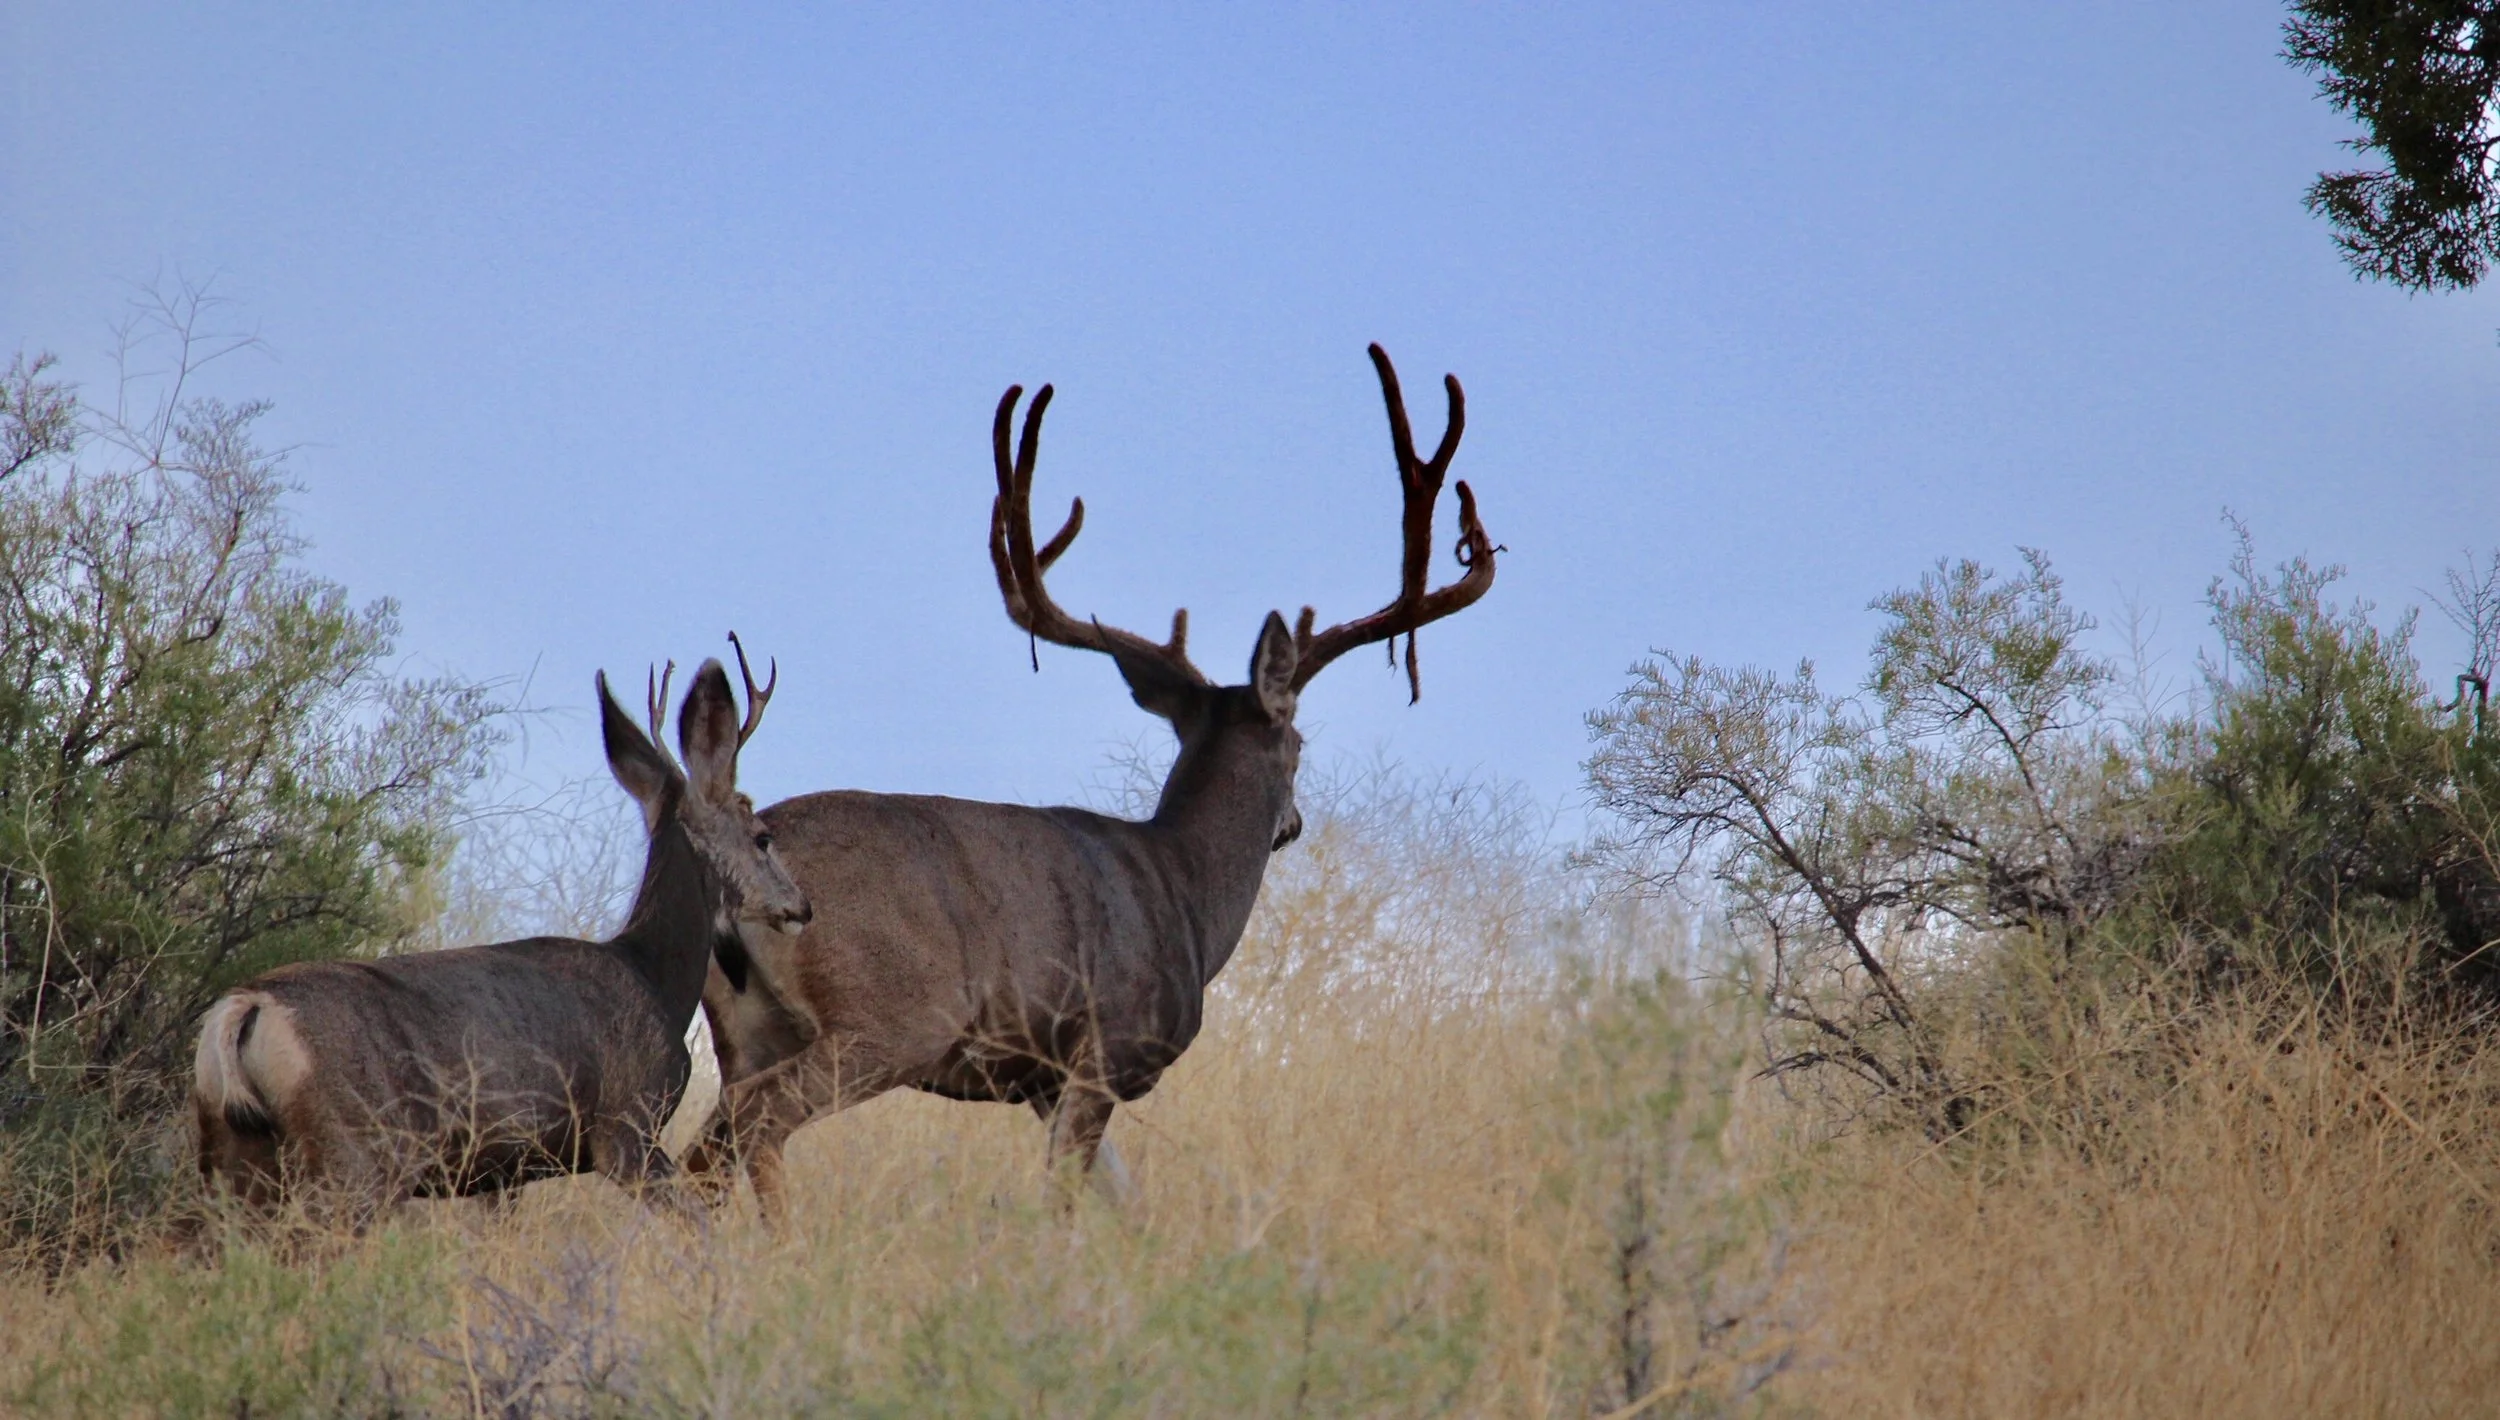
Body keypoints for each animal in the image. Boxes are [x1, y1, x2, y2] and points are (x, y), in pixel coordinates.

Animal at [192, 654, 811, 1225]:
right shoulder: (624, 1126)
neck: (653, 977)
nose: (801, 907)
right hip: (357, 1155)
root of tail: (245, 1008)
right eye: (762, 837)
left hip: (230, 1156)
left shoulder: (502, 1171)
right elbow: (699, 1229)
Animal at [682, 345, 1497, 1218]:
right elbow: (1066, 1202)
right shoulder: (1104, 1048)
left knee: (704, 1151)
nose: (1294, 824)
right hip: (892, 1013)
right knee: (755, 1122)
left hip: (744, 1027)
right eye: (1300, 745)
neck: (1186, 887)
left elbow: (1124, 1206)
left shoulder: (1043, 1080)